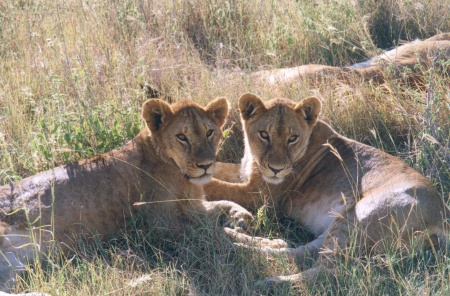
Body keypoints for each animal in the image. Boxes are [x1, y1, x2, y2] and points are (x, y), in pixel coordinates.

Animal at [0, 97, 253, 294]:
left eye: (210, 132)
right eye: (182, 137)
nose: (206, 165)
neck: (183, 178)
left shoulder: (193, 207)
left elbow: (223, 205)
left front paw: (242, 217)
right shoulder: (163, 227)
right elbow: (221, 238)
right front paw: (260, 245)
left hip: (15, 263)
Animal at [206, 93, 448, 286]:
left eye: (292, 138)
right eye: (264, 134)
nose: (276, 169)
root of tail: (442, 216)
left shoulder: (261, 195)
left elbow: (215, 185)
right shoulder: (246, 176)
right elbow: (216, 170)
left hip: (360, 216)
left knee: (329, 270)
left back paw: (270, 282)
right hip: (339, 224)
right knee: (298, 251)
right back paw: (234, 240)